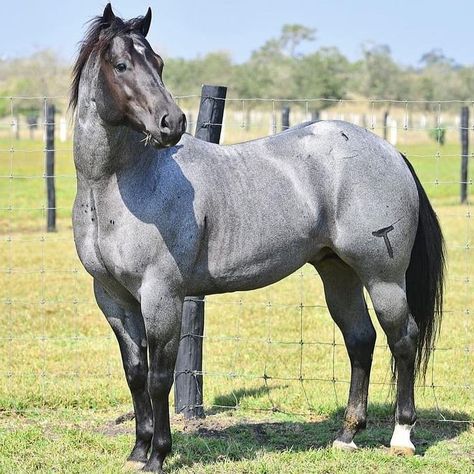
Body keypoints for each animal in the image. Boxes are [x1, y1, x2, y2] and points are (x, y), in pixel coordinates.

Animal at [70, 2, 444, 470]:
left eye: (157, 63)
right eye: (121, 65)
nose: (171, 123)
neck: (119, 186)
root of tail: (390, 151)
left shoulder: (161, 296)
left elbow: (159, 378)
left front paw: (158, 455)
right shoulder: (113, 298)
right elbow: (136, 374)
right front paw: (138, 452)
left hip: (383, 277)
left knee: (403, 339)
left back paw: (402, 436)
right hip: (337, 272)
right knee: (361, 340)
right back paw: (346, 435)